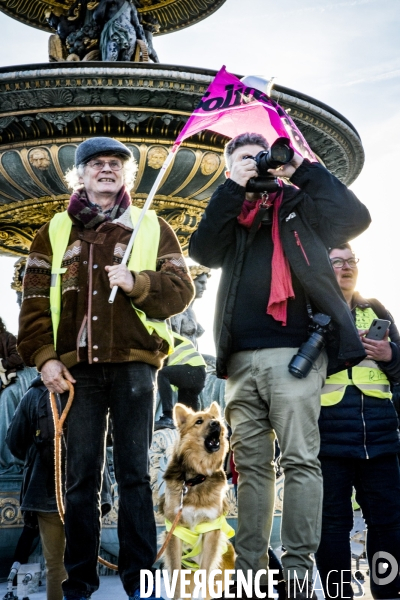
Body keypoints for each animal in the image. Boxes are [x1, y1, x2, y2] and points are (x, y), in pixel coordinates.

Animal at [159, 400, 234, 596]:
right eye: (199, 421)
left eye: (214, 418)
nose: (217, 424)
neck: (196, 478)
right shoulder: (174, 530)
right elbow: (176, 576)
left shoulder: (211, 528)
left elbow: (206, 572)